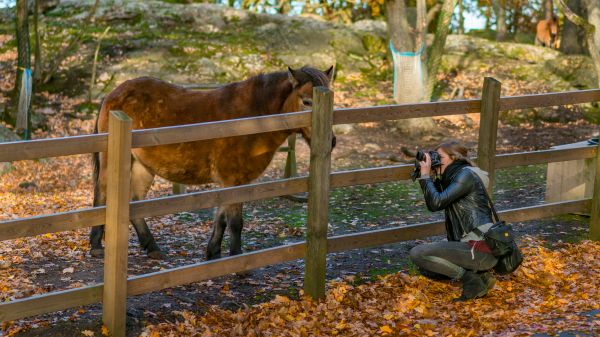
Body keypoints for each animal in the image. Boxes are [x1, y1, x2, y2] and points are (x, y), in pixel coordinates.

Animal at [89, 66, 336, 260]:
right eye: (306, 101)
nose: (331, 141)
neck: (252, 118)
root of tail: (114, 93)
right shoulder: (232, 180)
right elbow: (235, 222)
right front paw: (236, 259)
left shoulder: (233, 182)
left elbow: (222, 219)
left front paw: (213, 253)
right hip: (112, 163)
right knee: (102, 196)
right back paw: (96, 245)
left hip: (143, 167)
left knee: (135, 202)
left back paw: (152, 247)